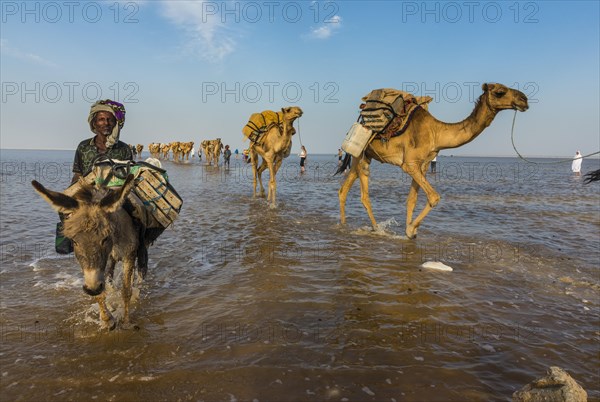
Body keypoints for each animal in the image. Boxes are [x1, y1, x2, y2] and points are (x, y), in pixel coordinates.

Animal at [338, 82, 528, 239]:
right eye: (500, 92)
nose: (524, 99)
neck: (436, 133)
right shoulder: (409, 164)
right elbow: (434, 197)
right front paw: (411, 230)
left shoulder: (423, 164)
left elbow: (412, 199)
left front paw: (410, 230)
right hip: (361, 154)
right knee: (364, 195)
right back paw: (376, 228)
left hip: (362, 155)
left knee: (344, 189)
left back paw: (343, 225)